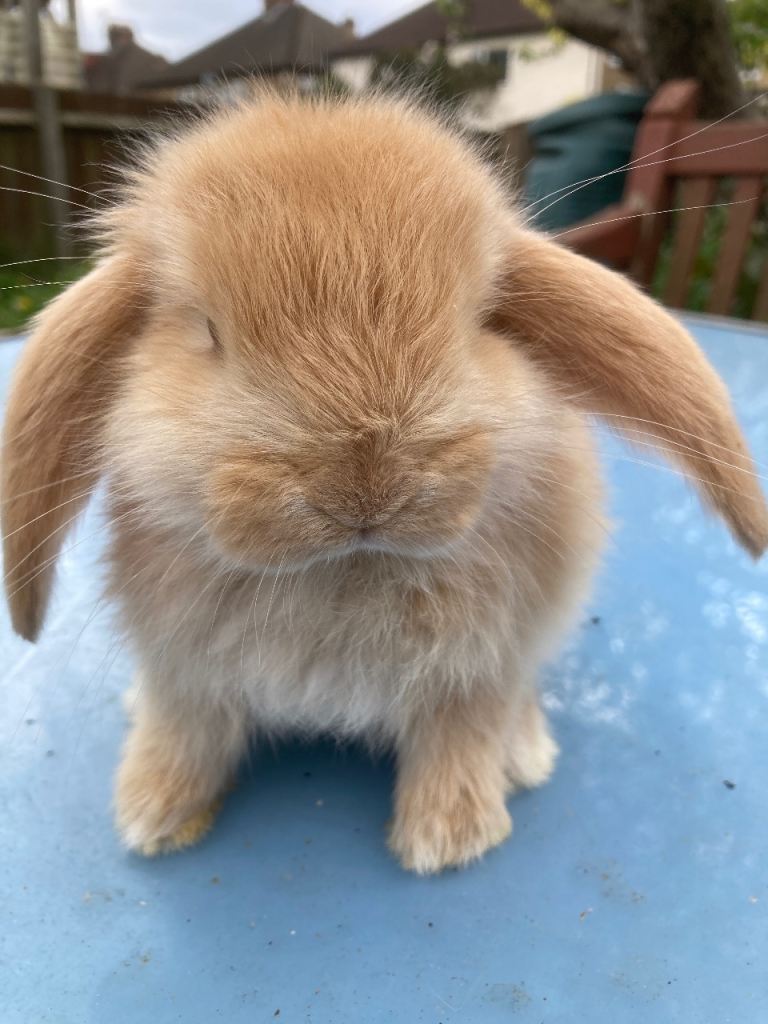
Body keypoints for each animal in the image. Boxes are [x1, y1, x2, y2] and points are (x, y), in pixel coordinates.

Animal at [2, 92, 767, 874]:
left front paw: (447, 839)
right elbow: (186, 731)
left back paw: (524, 756)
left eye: (480, 320)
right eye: (208, 331)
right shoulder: (183, 671)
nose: (364, 487)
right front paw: (153, 813)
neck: (345, 570)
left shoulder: (480, 670)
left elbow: (460, 736)